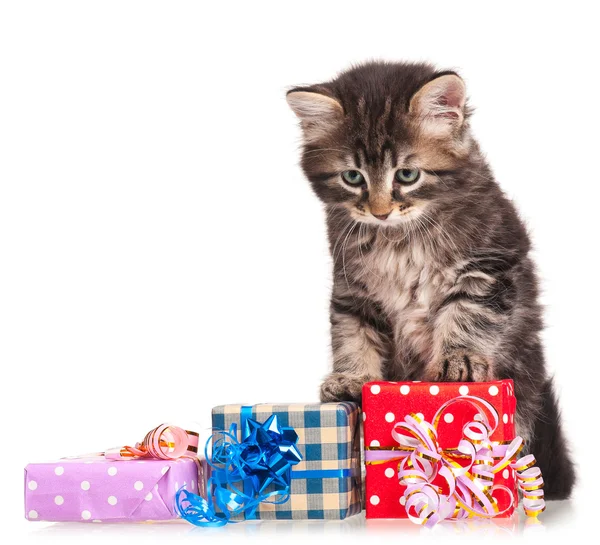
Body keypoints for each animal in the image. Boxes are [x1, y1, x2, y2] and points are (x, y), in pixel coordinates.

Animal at [288, 61, 576, 500]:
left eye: (407, 174)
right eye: (353, 177)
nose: (380, 211)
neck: (397, 238)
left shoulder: (490, 263)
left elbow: (467, 314)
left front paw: (459, 359)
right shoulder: (352, 290)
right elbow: (353, 335)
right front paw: (353, 378)